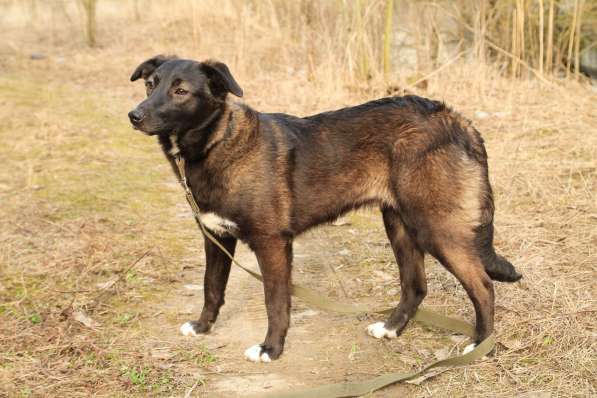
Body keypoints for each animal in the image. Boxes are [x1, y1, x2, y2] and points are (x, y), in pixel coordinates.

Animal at [128, 56, 520, 364]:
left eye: (181, 91)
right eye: (150, 85)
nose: (134, 115)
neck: (216, 142)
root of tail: (457, 119)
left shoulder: (272, 243)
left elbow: (275, 301)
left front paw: (271, 349)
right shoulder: (216, 237)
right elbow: (212, 287)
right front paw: (202, 327)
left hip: (436, 228)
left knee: (483, 286)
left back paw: (479, 345)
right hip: (399, 225)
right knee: (415, 286)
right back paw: (391, 328)